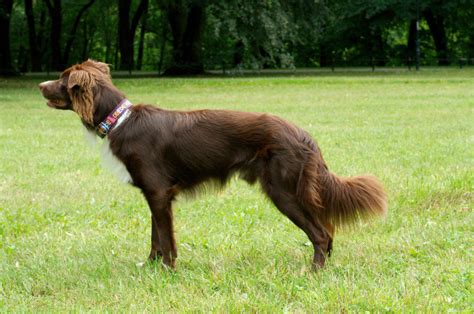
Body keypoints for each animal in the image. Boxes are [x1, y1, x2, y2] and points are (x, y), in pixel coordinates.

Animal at [39, 60, 386, 270]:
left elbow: (166, 239)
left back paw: (312, 271)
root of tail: (304, 135)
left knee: (321, 233)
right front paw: (150, 267)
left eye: (62, 78)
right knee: (327, 230)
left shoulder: (159, 193)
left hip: (284, 191)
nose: (41, 85)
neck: (119, 120)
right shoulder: (155, 194)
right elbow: (155, 237)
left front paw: (168, 271)